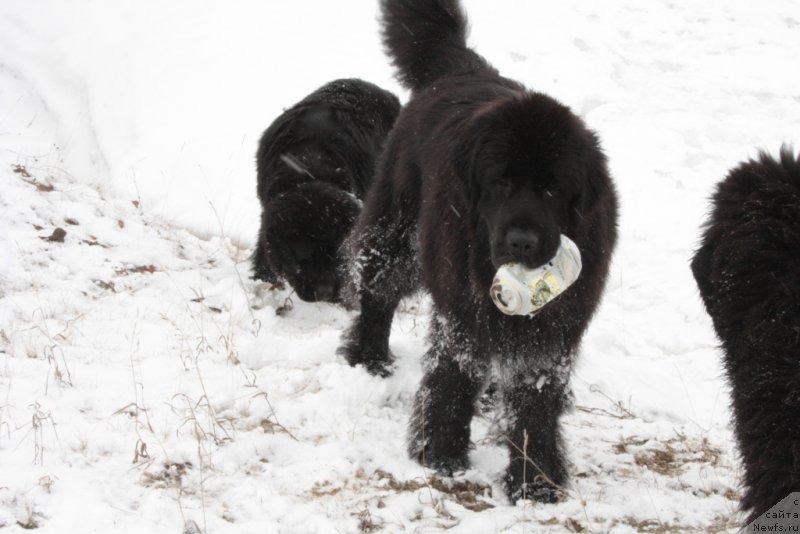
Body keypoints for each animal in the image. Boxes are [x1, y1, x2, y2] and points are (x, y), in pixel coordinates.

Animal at [338, 0, 620, 504]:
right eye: (500, 182)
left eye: (552, 189)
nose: (522, 240)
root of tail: (462, 66)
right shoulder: (463, 313)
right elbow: (454, 376)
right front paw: (441, 454)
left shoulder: (553, 332)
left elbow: (535, 402)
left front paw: (535, 480)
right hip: (400, 233)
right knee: (376, 286)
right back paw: (368, 355)